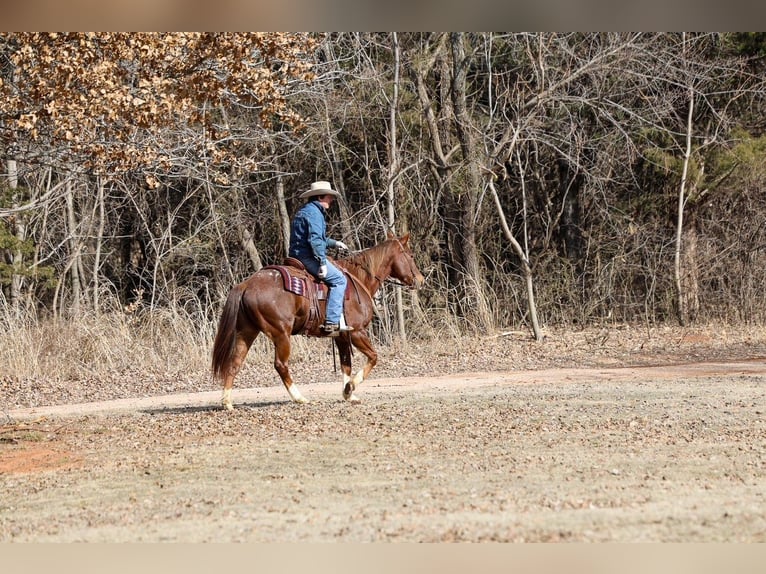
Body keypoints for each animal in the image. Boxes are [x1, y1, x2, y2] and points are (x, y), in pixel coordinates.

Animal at [211, 233, 425, 410]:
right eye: (411, 255)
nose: (421, 280)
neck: (359, 278)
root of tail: (247, 284)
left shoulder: (341, 336)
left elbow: (346, 364)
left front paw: (348, 394)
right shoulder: (357, 332)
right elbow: (373, 357)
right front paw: (351, 387)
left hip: (247, 332)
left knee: (235, 362)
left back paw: (227, 402)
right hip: (280, 334)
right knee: (281, 365)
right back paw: (300, 398)